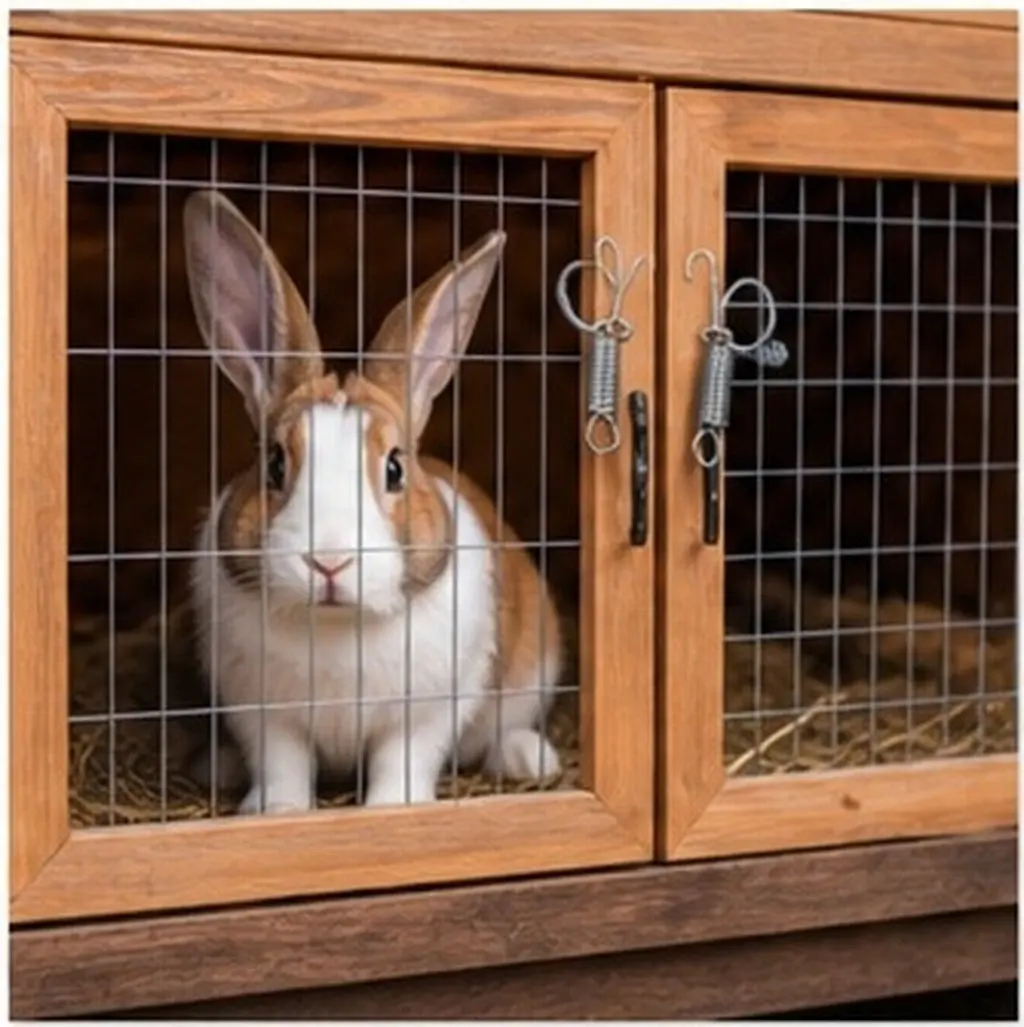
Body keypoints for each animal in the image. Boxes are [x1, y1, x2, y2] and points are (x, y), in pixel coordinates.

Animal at [182, 189, 563, 814]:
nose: (330, 562)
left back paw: (527, 758)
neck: (339, 622)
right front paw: (277, 811)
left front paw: (391, 810)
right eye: (275, 464)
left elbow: (401, 762)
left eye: (394, 468)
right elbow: (282, 765)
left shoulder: (426, 713)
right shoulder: (266, 716)